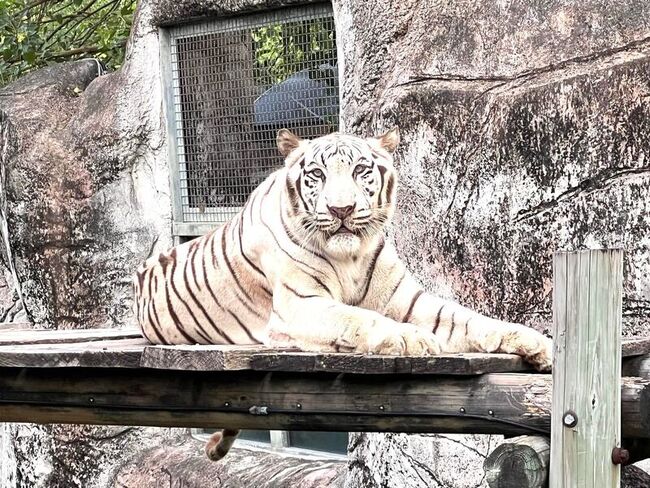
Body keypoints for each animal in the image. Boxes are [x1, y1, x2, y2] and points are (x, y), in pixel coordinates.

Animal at [133, 128, 553, 461]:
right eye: (317, 174)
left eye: (360, 170)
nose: (341, 209)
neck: (349, 255)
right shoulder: (299, 306)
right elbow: (358, 317)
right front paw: (411, 338)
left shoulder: (408, 300)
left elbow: (471, 319)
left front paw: (539, 343)